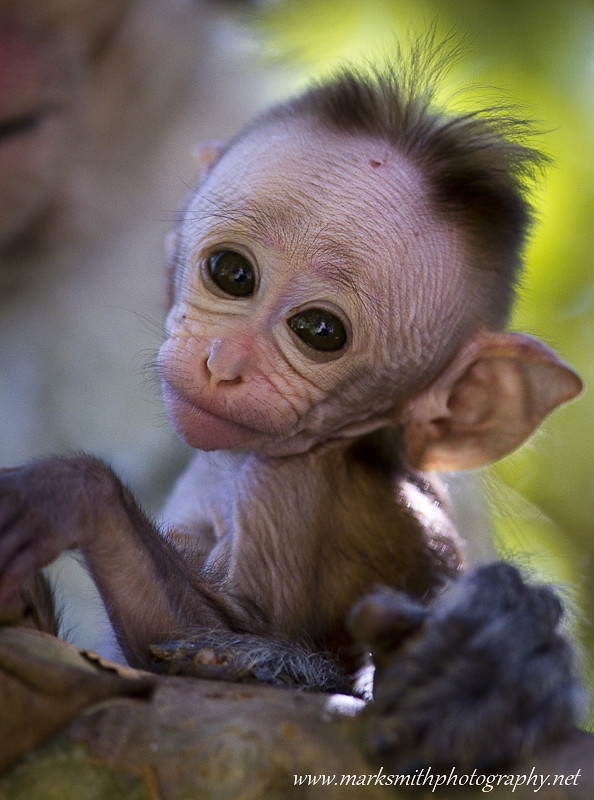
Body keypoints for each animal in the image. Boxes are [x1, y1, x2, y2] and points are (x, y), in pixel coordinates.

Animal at [0, 41, 585, 769]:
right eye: (231, 273)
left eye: (319, 332)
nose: (224, 363)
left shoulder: (283, 490)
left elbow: (195, 642)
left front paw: (67, 494)